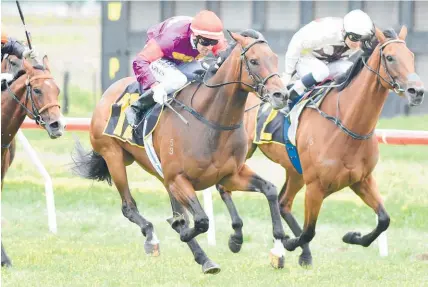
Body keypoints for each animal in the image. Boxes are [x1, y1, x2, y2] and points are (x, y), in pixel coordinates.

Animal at [72, 31, 290, 274]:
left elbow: (270, 189)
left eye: (274, 58)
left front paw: (275, 246)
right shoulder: (178, 178)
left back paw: (204, 258)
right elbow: (201, 220)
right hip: (114, 157)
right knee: (128, 207)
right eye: (253, 61)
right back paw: (153, 238)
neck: (211, 121)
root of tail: (108, 92)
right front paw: (187, 232)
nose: (281, 94)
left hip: (161, 176)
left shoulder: (230, 175)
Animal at [217, 26, 424, 268]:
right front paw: (289, 243)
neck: (345, 124)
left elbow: (384, 219)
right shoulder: (316, 187)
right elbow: (309, 231)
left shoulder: (362, 180)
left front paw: (352, 236)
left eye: (411, 56)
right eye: (390, 57)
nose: (417, 91)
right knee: (225, 186)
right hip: (243, 154)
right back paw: (237, 237)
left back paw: (304, 253)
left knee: (283, 202)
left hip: (295, 169)